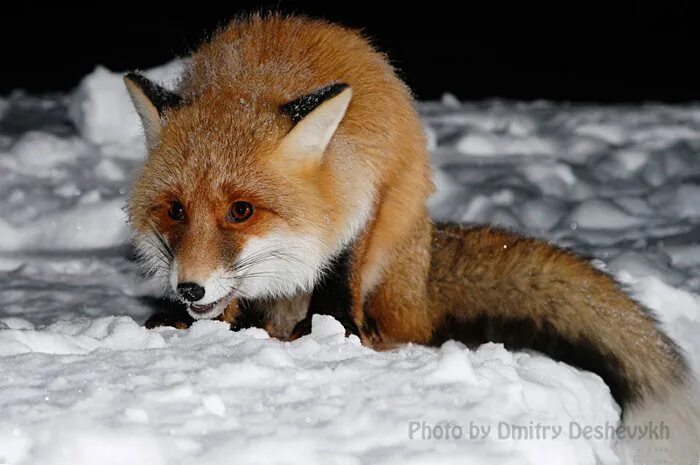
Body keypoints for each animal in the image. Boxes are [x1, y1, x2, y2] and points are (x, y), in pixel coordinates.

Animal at [126, 13, 700, 460]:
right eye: (175, 210)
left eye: (241, 211)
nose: (189, 288)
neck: (258, 73)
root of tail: (421, 272)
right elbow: (231, 306)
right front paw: (200, 323)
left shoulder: (368, 191)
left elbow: (341, 272)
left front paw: (333, 333)